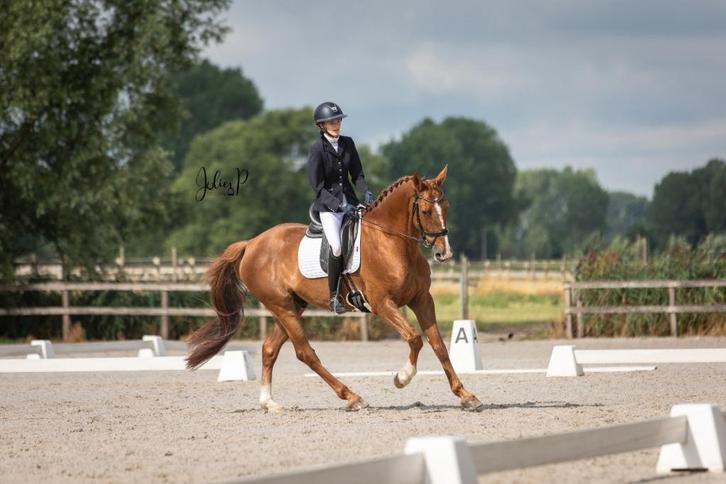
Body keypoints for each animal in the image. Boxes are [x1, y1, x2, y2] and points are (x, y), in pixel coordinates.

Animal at [185, 165, 484, 412]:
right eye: (425, 211)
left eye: (447, 206)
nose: (444, 253)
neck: (392, 243)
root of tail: (251, 244)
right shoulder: (382, 304)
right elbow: (414, 339)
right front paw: (401, 378)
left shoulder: (422, 299)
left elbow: (438, 345)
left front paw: (466, 396)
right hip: (282, 307)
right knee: (305, 353)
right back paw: (352, 397)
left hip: (291, 307)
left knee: (269, 349)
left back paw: (269, 403)